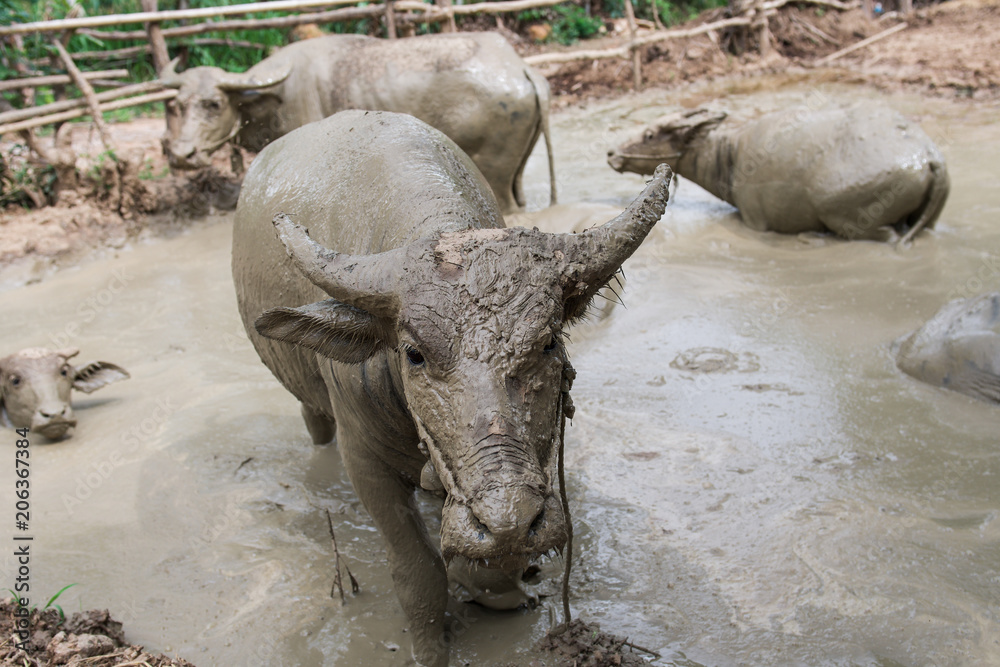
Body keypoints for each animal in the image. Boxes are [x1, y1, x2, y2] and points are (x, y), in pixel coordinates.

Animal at [160, 31, 560, 214]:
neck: (273, 96)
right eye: (174, 106)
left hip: (495, 172)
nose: (180, 154)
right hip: (517, 168)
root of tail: (518, 66)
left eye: (213, 104)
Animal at [234, 109, 672, 664]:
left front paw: (501, 588)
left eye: (548, 341)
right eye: (414, 353)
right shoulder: (364, 462)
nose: (509, 518)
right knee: (314, 424)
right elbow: (419, 572)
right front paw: (431, 645)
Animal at [604, 100, 948, 244]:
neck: (729, 158)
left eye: (650, 135)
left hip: (846, 214)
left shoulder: (756, 221)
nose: (611, 153)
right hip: (929, 221)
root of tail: (930, 155)